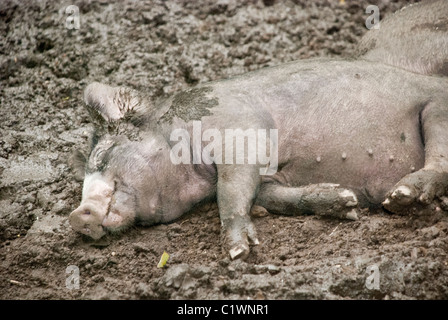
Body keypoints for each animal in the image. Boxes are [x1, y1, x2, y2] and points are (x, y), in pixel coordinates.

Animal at [68, 0, 448, 260]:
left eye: (103, 157)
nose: (76, 216)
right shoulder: (269, 176)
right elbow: (270, 196)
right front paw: (345, 202)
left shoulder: (240, 131)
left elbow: (231, 189)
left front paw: (238, 252)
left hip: (436, 108)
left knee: (439, 161)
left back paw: (401, 197)